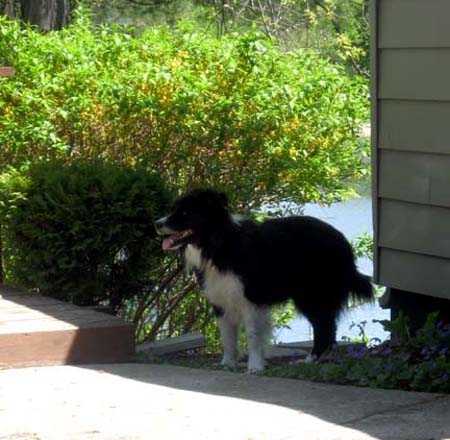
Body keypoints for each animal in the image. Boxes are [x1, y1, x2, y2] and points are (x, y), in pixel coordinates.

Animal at [155, 189, 372, 372]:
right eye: (173, 209)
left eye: (185, 213)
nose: (157, 223)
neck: (218, 245)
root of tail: (343, 242)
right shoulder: (221, 300)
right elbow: (227, 336)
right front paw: (227, 363)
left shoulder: (251, 299)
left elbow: (253, 335)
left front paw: (255, 366)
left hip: (312, 295)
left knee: (324, 327)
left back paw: (309, 360)